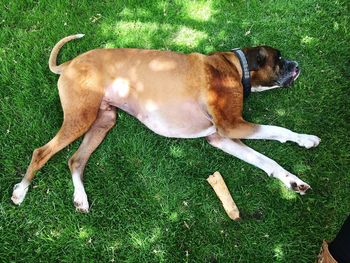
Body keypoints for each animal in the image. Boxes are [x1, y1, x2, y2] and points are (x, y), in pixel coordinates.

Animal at [11, 34, 320, 213]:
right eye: (279, 59)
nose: (297, 65)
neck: (234, 67)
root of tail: (70, 63)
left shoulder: (220, 137)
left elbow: (267, 161)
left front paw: (293, 182)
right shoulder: (232, 125)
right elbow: (278, 131)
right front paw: (305, 139)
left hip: (103, 121)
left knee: (75, 160)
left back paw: (80, 198)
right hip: (82, 117)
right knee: (41, 152)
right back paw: (21, 190)